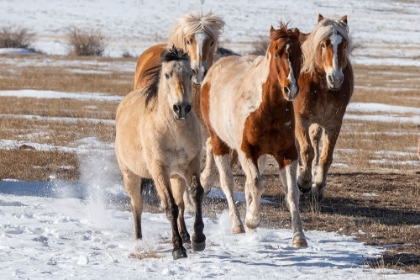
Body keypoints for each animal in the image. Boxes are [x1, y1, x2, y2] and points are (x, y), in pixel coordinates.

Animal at [115, 47, 207, 260]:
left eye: (190, 74)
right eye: (167, 75)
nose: (181, 108)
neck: (173, 131)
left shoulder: (191, 164)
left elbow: (196, 194)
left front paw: (198, 239)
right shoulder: (159, 171)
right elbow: (170, 207)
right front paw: (177, 249)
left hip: (176, 176)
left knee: (181, 203)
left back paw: (186, 236)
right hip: (130, 175)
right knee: (137, 206)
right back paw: (139, 241)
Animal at [200, 23, 308, 247]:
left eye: (299, 54)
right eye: (277, 53)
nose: (291, 89)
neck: (267, 108)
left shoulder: (287, 153)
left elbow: (291, 192)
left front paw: (299, 237)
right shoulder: (247, 151)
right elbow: (257, 184)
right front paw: (252, 220)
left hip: (261, 155)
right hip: (220, 143)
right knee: (227, 181)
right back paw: (238, 224)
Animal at [292, 14, 354, 200]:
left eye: (344, 45)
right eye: (324, 44)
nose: (336, 78)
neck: (321, 87)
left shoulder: (333, 123)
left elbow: (325, 156)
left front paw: (318, 186)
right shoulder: (301, 120)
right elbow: (306, 151)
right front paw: (304, 182)